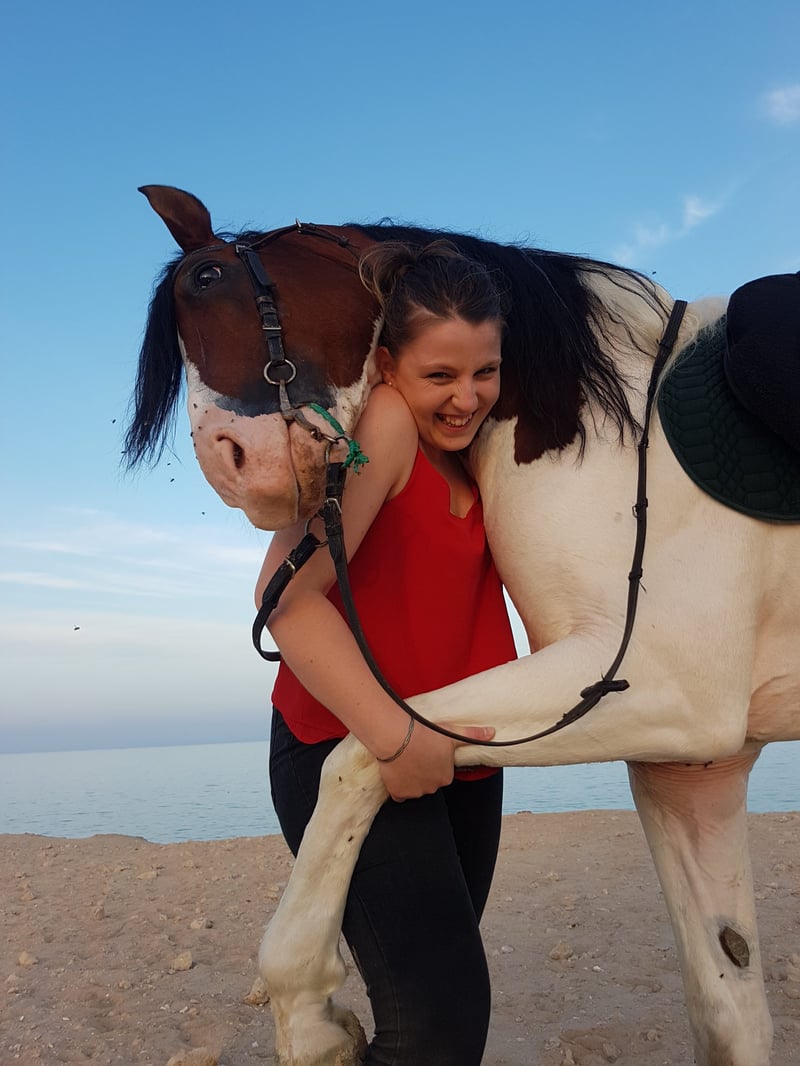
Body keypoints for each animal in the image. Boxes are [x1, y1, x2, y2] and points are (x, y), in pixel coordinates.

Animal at [127, 185, 800, 1066]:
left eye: (207, 279)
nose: (234, 468)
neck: (628, 435)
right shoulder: (693, 767)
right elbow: (728, 1006)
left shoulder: (667, 689)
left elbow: (354, 759)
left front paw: (307, 1010)